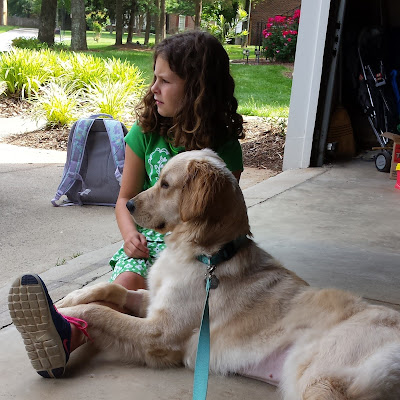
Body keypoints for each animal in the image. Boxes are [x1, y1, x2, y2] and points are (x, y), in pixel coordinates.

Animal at [49, 149, 400, 399]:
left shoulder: (160, 333)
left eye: (165, 184)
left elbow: (99, 312)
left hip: (319, 378)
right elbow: (110, 290)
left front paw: (66, 314)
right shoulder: (155, 303)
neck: (206, 255)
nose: (128, 205)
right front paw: (66, 300)